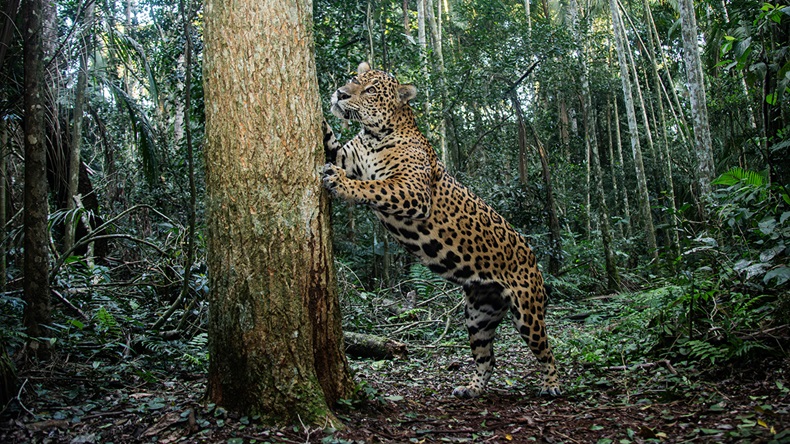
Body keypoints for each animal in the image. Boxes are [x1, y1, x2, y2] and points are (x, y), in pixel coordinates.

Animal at [321, 61, 561, 398]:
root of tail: (532, 255)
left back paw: (552, 385)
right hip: (478, 315)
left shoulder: (412, 191)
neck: (373, 135)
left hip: (527, 313)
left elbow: (374, 187)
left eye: (370, 91)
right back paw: (471, 389)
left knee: (546, 349)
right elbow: (331, 142)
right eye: (354, 79)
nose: (340, 93)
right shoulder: (346, 156)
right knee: (488, 358)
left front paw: (341, 183)